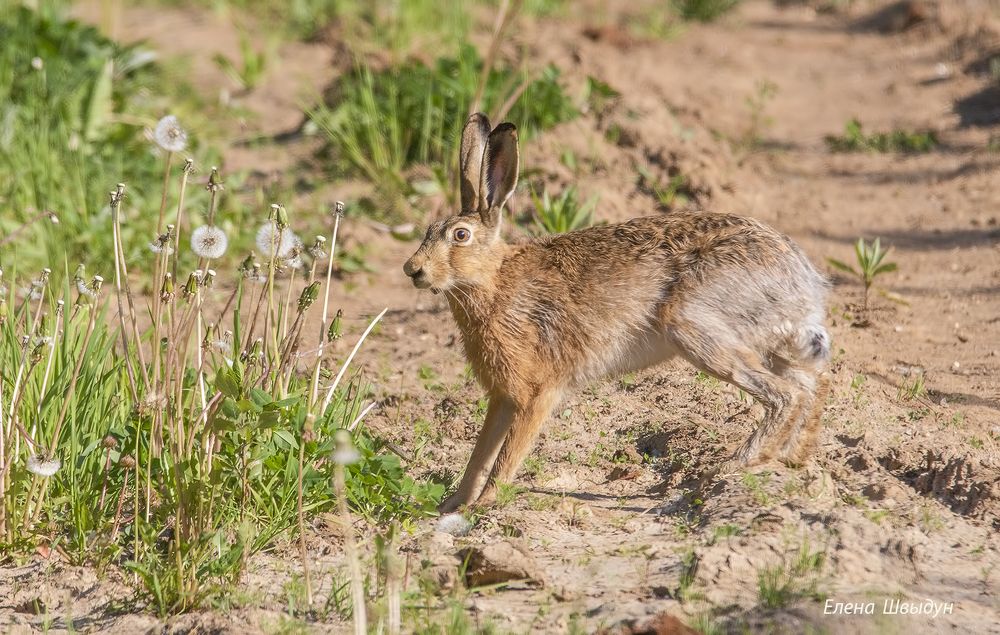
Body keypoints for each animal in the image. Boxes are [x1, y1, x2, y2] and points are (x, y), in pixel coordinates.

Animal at [404, 113, 831, 513]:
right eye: (428, 230)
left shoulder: (537, 393)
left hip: (696, 325)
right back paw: (794, 461)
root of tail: (803, 278)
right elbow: (479, 456)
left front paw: (485, 505)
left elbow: (506, 457)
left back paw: (731, 467)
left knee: (786, 395)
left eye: (460, 236)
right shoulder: (503, 398)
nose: (413, 270)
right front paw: (451, 506)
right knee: (810, 386)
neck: (493, 279)